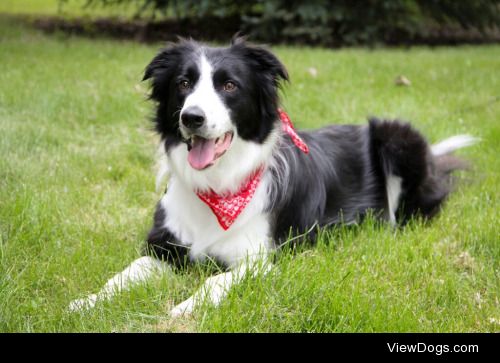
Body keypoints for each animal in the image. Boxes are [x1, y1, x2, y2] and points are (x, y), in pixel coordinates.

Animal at [68, 35, 474, 318]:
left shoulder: (260, 260)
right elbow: (123, 274)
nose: (192, 117)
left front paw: (185, 307)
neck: (220, 186)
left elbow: (215, 279)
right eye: (183, 84)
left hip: (398, 137)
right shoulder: (164, 247)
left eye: (229, 85)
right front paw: (86, 302)